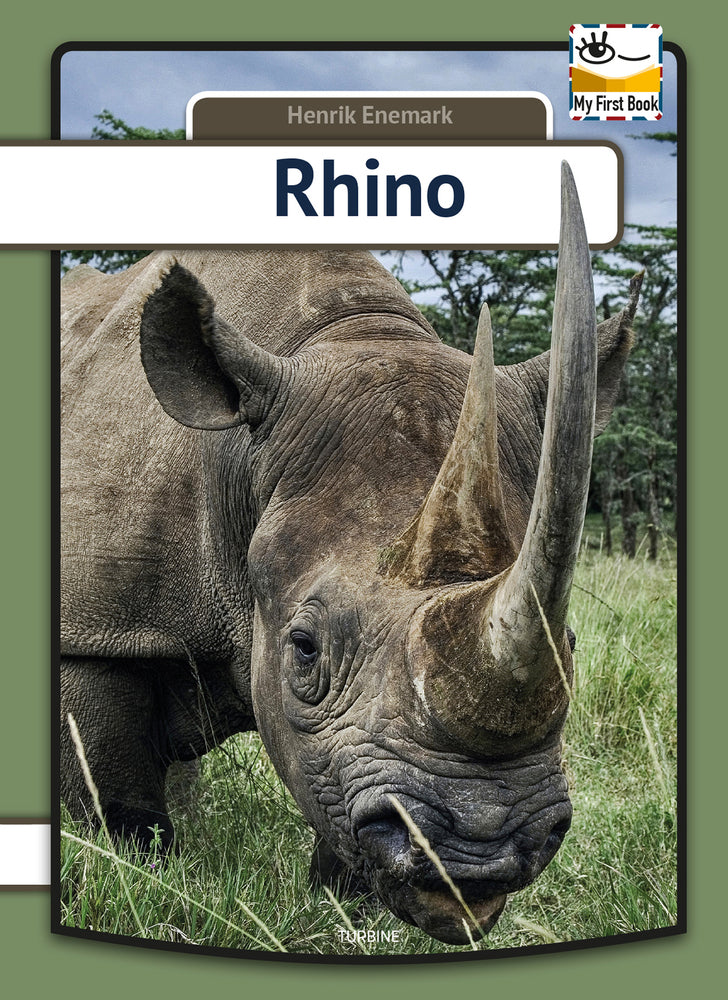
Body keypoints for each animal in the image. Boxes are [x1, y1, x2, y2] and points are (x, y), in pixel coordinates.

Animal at [60, 164, 640, 945]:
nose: (478, 853)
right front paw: (135, 877)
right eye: (304, 648)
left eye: (571, 643)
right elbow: (116, 803)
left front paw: (342, 910)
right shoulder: (95, 623)